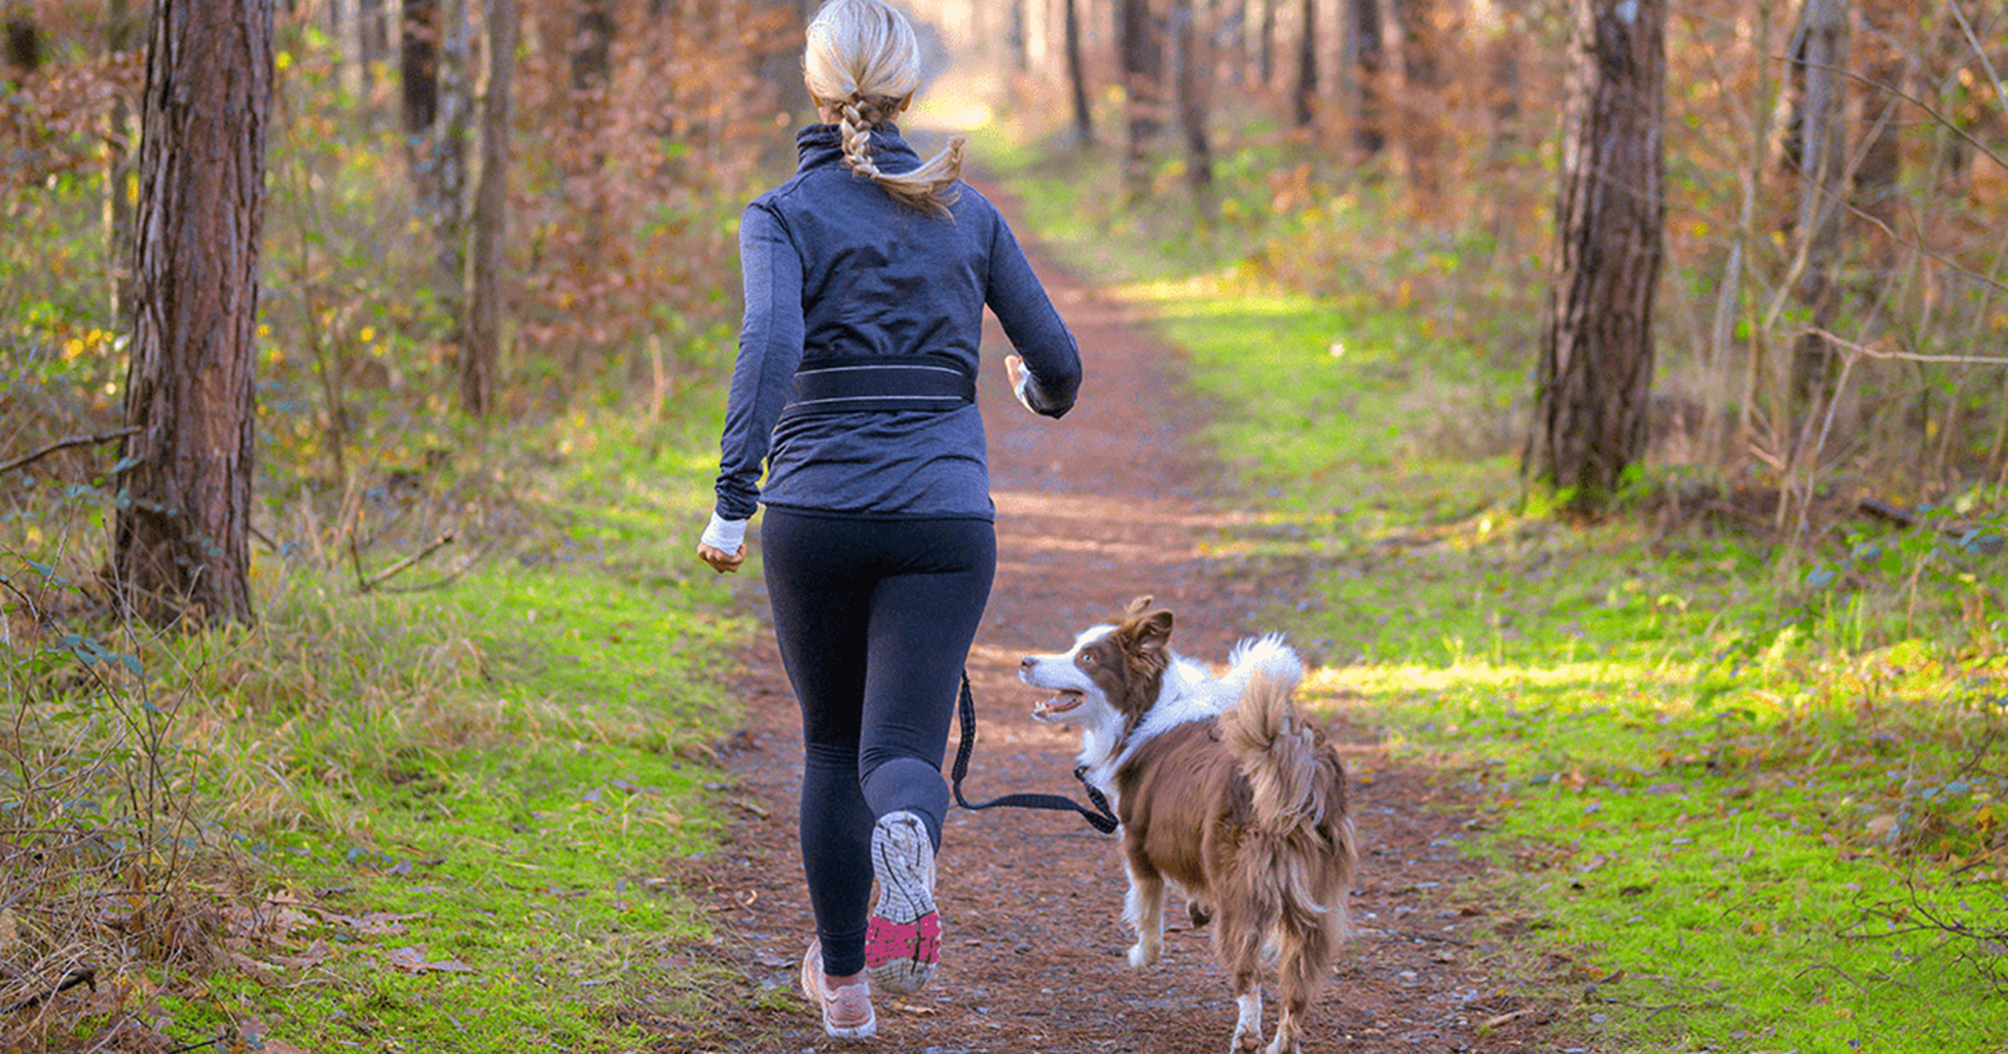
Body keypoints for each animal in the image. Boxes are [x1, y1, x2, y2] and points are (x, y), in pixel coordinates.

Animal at [1020, 594, 1365, 1051]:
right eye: (1075, 646)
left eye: (1088, 658)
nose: (1025, 660)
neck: (1148, 707)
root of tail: (1299, 765)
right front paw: (1197, 907)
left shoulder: (1138, 843)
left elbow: (1148, 911)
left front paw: (1141, 955)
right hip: (1315, 908)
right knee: (1296, 992)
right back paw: (1281, 1043)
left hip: (1244, 895)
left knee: (1249, 978)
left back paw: (1246, 1037)